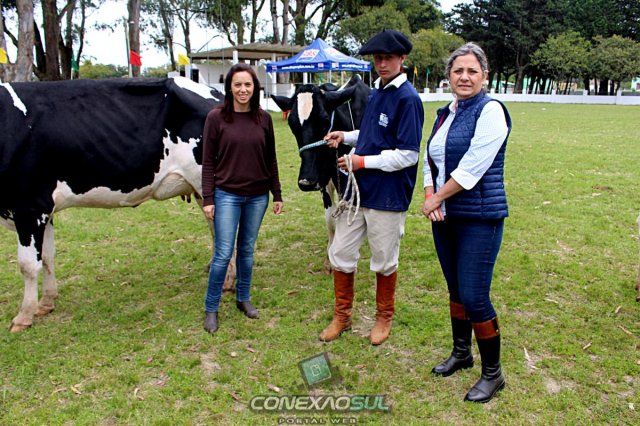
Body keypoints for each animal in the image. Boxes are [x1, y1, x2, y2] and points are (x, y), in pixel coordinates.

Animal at [0, 76, 231, 332]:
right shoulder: (45, 211)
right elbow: (48, 256)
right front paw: (46, 302)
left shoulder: (29, 207)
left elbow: (28, 265)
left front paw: (24, 316)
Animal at [271, 75, 370, 272]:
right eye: (292, 123)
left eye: (324, 120)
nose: (306, 181)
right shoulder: (323, 181)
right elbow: (331, 219)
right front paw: (330, 258)